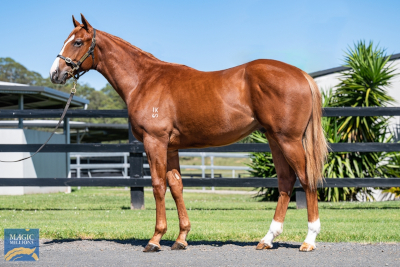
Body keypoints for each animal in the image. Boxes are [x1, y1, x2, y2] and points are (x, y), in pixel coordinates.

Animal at [48, 14, 326, 253]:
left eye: (78, 42)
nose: (55, 73)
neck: (144, 80)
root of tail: (302, 75)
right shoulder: (171, 147)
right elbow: (176, 185)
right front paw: (181, 238)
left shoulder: (155, 142)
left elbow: (158, 185)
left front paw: (155, 239)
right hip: (274, 139)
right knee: (286, 181)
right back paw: (267, 239)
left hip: (288, 140)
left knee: (306, 178)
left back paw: (309, 240)